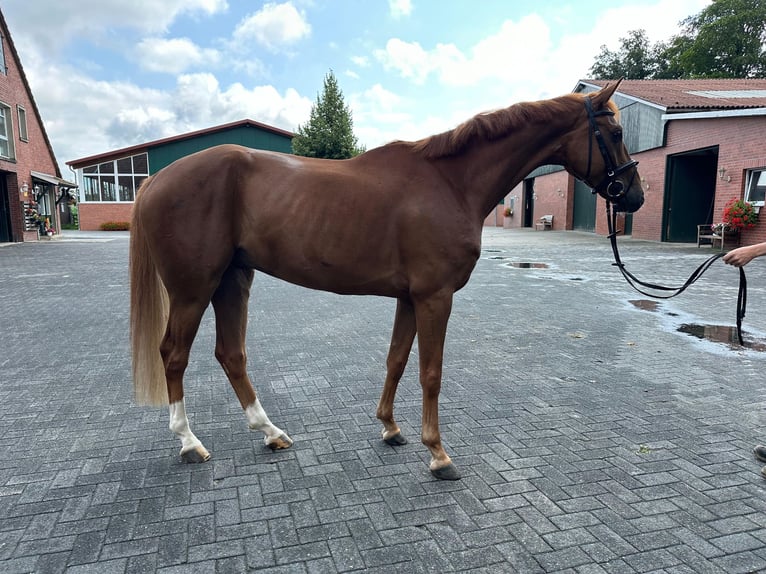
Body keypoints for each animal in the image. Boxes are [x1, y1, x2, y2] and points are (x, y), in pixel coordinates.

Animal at [130, 82, 640, 482]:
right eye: (615, 134)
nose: (633, 196)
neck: (450, 182)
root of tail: (155, 180)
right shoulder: (435, 297)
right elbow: (431, 372)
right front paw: (438, 454)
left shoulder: (409, 298)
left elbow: (396, 360)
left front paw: (391, 429)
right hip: (193, 289)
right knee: (174, 356)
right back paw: (190, 443)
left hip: (233, 280)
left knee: (230, 354)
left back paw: (271, 433)